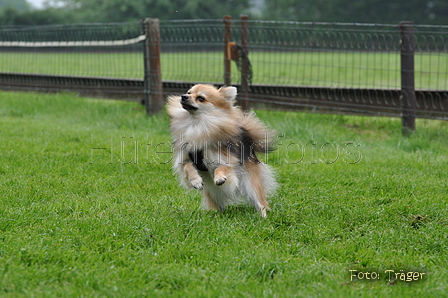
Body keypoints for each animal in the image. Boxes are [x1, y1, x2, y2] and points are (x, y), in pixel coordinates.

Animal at [167, 84, 276, 217]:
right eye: (188, 92)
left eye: (201, 98)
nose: (183, 96)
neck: (196, 124)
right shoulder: (184, 158)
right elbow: (188, 168)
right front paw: (195, 181)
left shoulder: (225, 160)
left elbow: (220, 168)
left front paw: (219, 178)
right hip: (211, 191)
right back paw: (213, 214)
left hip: (251, 183)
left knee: (261, 202)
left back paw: (263, 216)